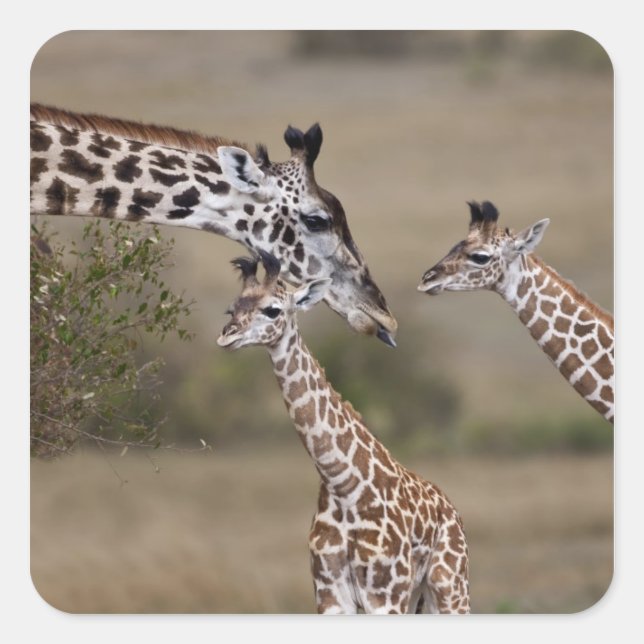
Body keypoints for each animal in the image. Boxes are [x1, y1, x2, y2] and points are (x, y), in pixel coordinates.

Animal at [217, 251, 470, 614]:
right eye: (232, 309)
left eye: (273, 310)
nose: (227, 336)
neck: (343, 483)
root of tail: (452, 510)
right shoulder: (330, 592)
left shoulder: (385, 595)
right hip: (420, 597)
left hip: (449, 586)